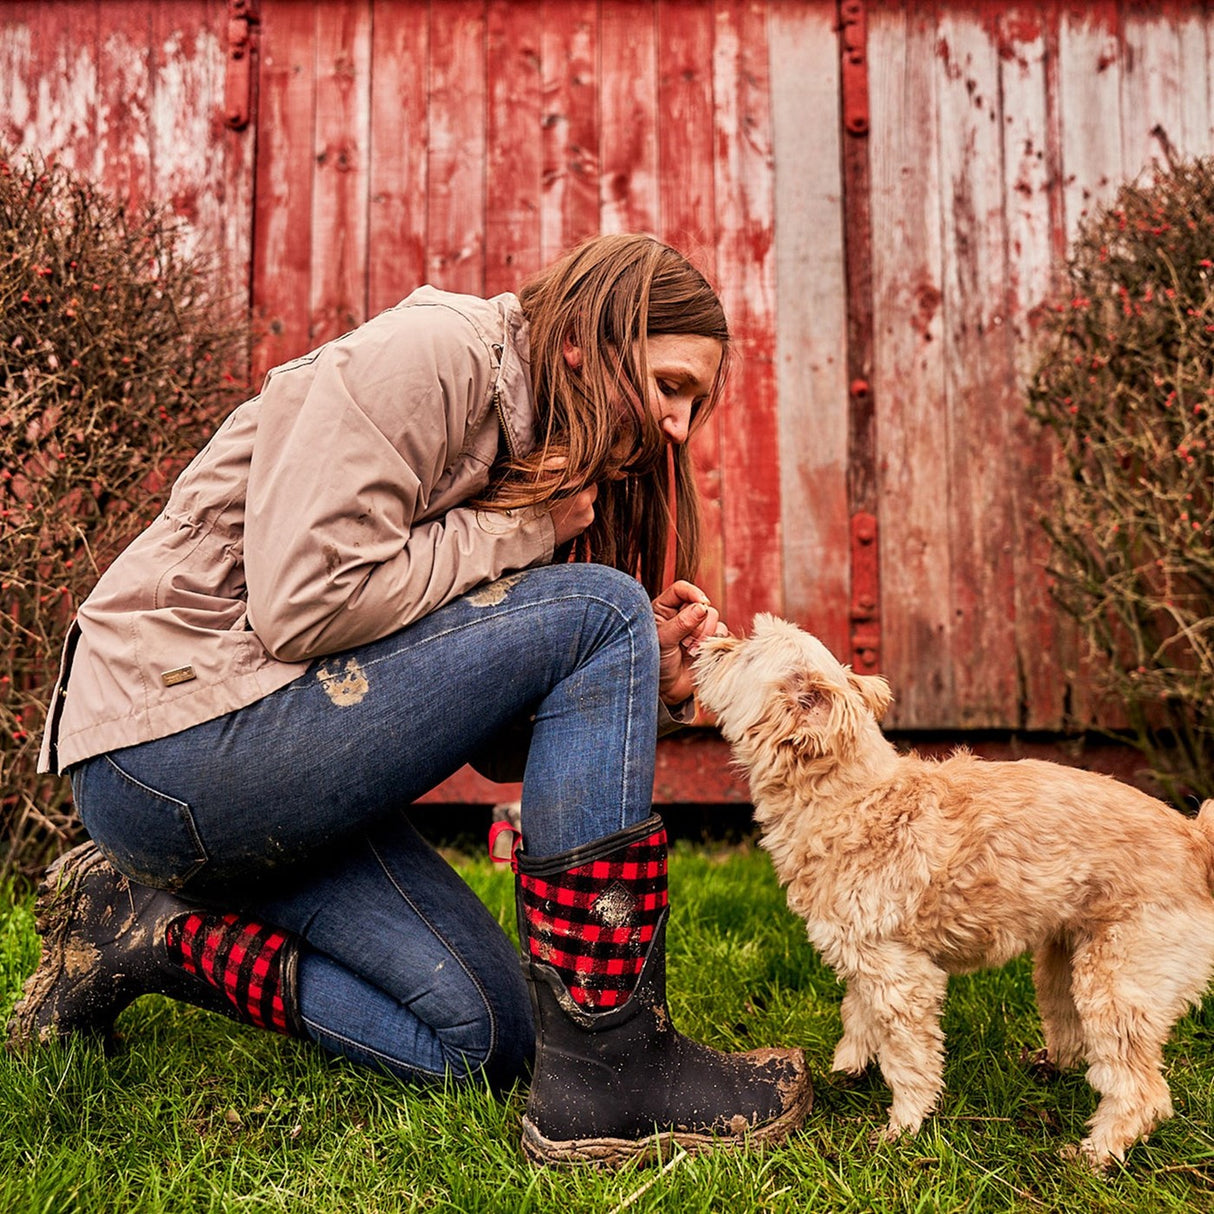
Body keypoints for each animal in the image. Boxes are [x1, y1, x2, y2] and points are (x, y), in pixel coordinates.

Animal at [694, 616, 1214, 1165]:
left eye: (748, 652)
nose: (710, 640)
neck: (849, 798)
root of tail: (1196, 839)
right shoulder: (864, 955)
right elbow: (856, 1011)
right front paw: (848, 1067)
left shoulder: (903, 977)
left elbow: (909, 1059)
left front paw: (902, 1126)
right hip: (1064, 962)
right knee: (1073, 1036)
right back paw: (1049, 1069)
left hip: (1118, 981)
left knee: (1142, 1090)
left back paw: (1097, 1152)